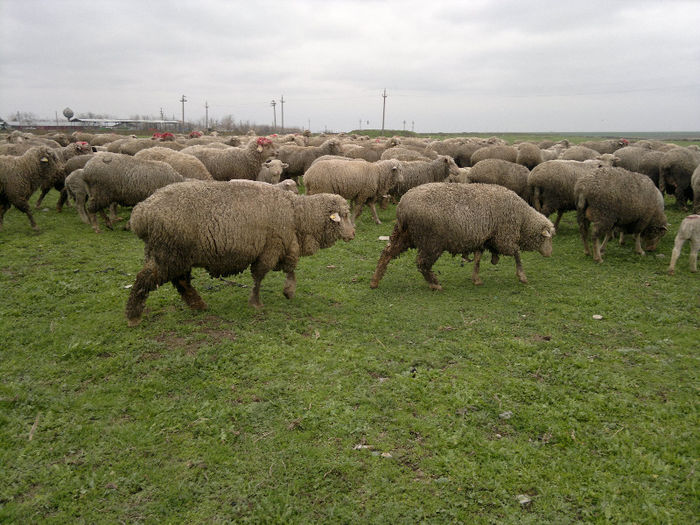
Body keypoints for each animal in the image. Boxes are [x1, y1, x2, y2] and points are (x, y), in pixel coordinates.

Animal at [124, 180, 356, 324]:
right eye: (343, 215)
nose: (353, 234)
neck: (297, 215)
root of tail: (141, 213)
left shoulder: (285, 246)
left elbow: (290, 269)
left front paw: (288, 291)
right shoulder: (271, 248)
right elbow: (260, 276)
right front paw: (256, 302)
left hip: (174, 254)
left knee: (181, 281)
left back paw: (198, 305)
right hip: (168, 252)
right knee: (146, 278)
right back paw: (133, 316)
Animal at [370, 181, 556, 288]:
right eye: (547, 238)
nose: (550, 254)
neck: (523, 218)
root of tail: (402, 207)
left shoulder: (483, 239)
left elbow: (478, 259)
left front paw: (476, 279)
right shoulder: (504, 237)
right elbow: (517, 253)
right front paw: (522, 276)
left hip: (404, 235)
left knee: (387, 253)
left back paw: (375, 280)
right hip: (431, 241)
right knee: (422, 263)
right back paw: (435, 284)